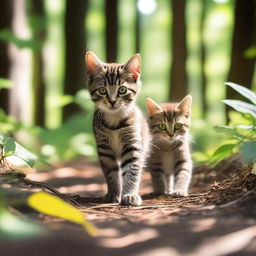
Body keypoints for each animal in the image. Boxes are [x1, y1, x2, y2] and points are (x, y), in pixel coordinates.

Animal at [85, 51, 151, 205]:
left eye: (122, 89)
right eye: (102, 90)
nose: (112, 101)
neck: (114, 121)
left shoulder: (132, 145)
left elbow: (132, 171)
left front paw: (130, 194)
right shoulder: (104, 148)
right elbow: (111, 172)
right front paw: (113, 193)